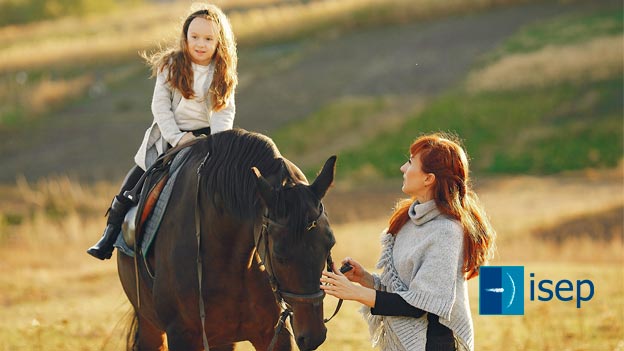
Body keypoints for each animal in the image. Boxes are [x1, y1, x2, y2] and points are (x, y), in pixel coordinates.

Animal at [119, 130, 338, 351]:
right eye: (279, 255)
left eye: (329, 245)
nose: (313, 336)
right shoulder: (181, 334)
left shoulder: (274, 333)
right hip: (151, 326)